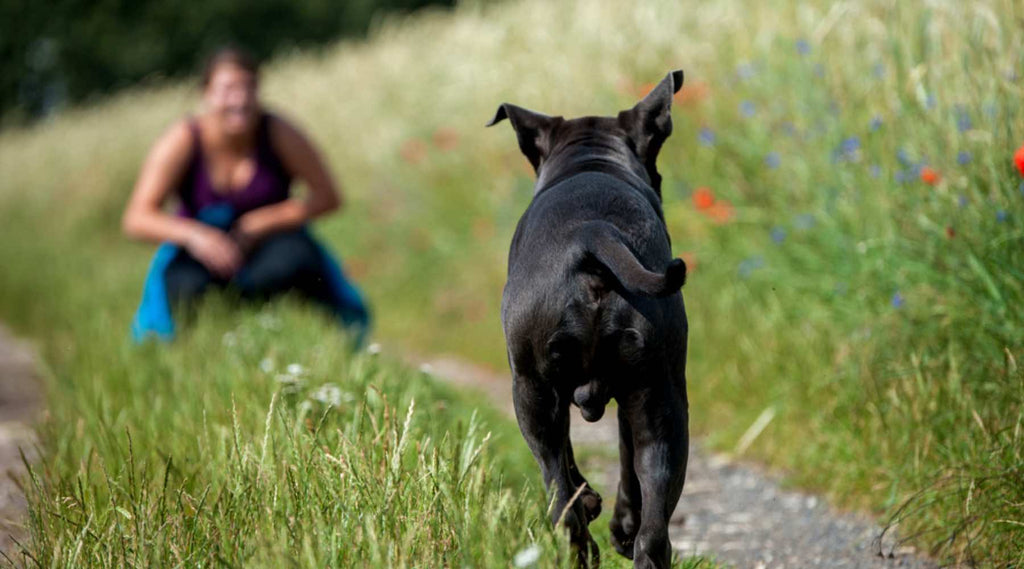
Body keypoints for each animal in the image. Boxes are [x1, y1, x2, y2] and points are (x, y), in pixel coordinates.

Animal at [487, 72, 688, 569]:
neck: (591, 161)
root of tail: (592, 232)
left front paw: (595, 503)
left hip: (532, 391)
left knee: (558, 486)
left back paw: (589, 545)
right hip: (660, 399)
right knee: (651, 512)